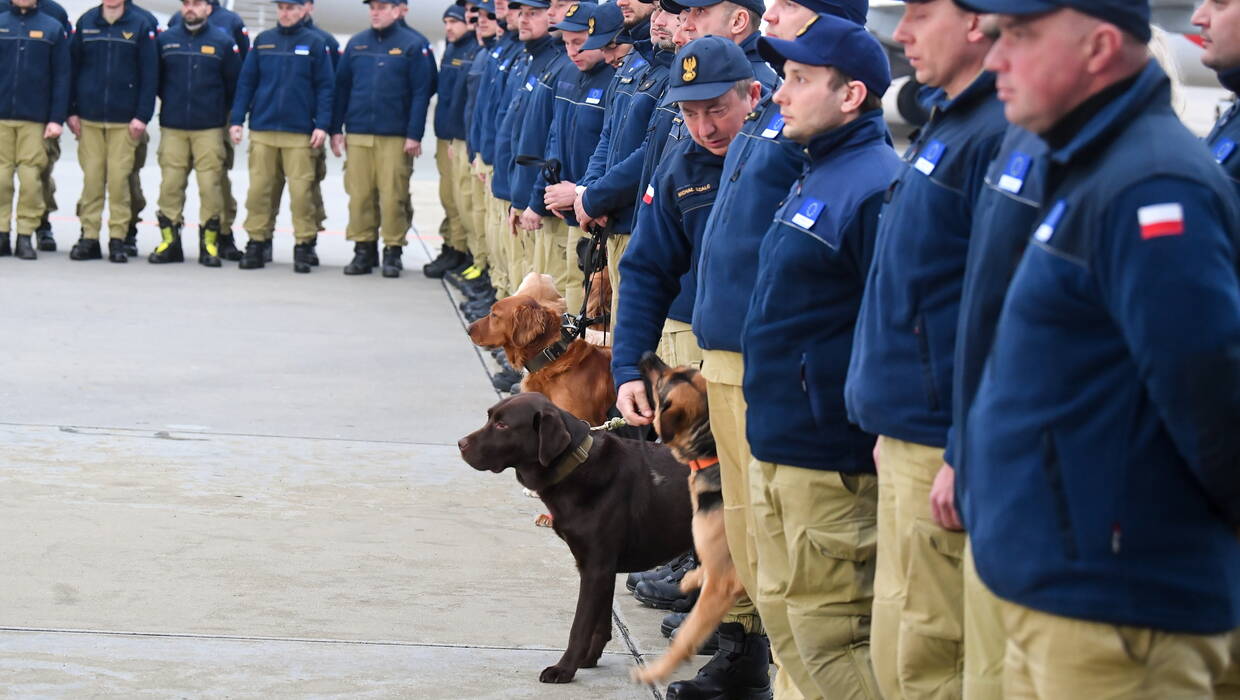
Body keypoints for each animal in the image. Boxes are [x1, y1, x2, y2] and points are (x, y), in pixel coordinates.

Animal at [634, 349, 739, 683]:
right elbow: (703, 566)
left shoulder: (722, 585)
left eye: (661, 385)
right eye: (675, 369)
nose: (647, 353)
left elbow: (687, 635)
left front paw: (655, 671)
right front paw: (691, 577)